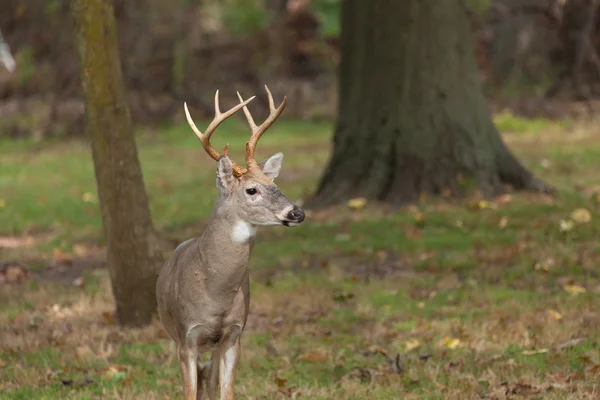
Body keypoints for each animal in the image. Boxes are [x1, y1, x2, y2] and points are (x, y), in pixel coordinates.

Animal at [156, 86, 304, 398]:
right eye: (251, 190)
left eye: (275, 185)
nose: (298, 212)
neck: (215, 294)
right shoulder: (186, 337)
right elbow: (189, 392)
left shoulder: (234, 336)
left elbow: (226, 392)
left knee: (209, 379)